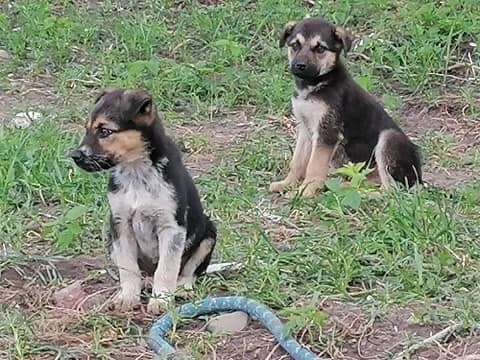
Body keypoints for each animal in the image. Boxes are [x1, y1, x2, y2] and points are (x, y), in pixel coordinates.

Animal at [70, 88, 217, 314]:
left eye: (104, 131)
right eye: (87, 129)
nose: (75, 156)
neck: (136, 171)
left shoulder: (171, 228)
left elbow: (166, 269)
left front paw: (161, 300)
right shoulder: (120, 224)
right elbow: (128, 268)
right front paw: (128, 297)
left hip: (209, 234)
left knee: (188, 271)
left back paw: (182, 287)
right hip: (110, 239)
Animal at [270, 16, 424, 197]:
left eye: (320, 48)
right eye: (295, 45)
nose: (300, 65)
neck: (316, 85)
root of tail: (419, 178)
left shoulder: (327, 132)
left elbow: (314, 166)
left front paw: (306, 191)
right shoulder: (305, 129)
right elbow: (297, 162)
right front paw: (287, 184)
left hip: (389, 139)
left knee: (391, 190)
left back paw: (363, 194)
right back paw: (346, 186)